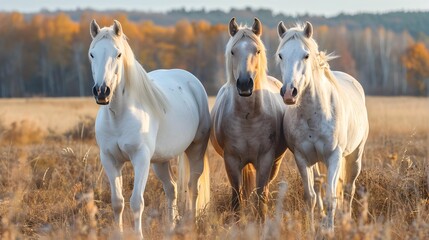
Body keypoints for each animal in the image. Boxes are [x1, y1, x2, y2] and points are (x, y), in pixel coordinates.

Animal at [89, 19, 211, 237]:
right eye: (92, 54)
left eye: (118, 54)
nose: (102, 92)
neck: (119, 115)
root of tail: (192, 82)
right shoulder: (110, 160)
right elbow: (117, 202)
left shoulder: (140, 158)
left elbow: (136, 202)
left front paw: (138, 235)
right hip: (160, 161)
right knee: (172, 188)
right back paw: (171, 227)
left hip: (195, 149)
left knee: (193, 186)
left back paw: (191, 224)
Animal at [276, 21, 370, 232]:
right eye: (280, 55)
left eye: (306, 55)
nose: (289, 92)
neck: (314, 115)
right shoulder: (301, 158)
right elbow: (310, 196)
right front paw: (312, 229)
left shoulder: (334, 157)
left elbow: (331, 198)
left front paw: (329, 230)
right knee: (320, 186)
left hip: (355, 157)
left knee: (348, 189)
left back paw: (346, 220)